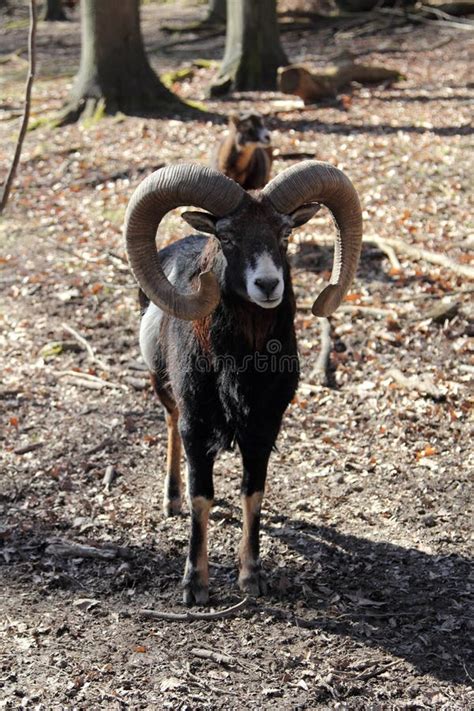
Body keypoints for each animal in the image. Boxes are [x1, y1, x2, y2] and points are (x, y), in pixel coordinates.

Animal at [124, 161, 362, 608]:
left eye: (285, 234)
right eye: (228, 237)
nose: (267, 285)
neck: (240, 372)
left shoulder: (263, 429)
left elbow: (253, 493)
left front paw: (251, 577)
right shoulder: (197, 427)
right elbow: (202, 497)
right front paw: (195, 586)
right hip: (165, 392)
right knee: (170, 426)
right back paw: (171, 500)